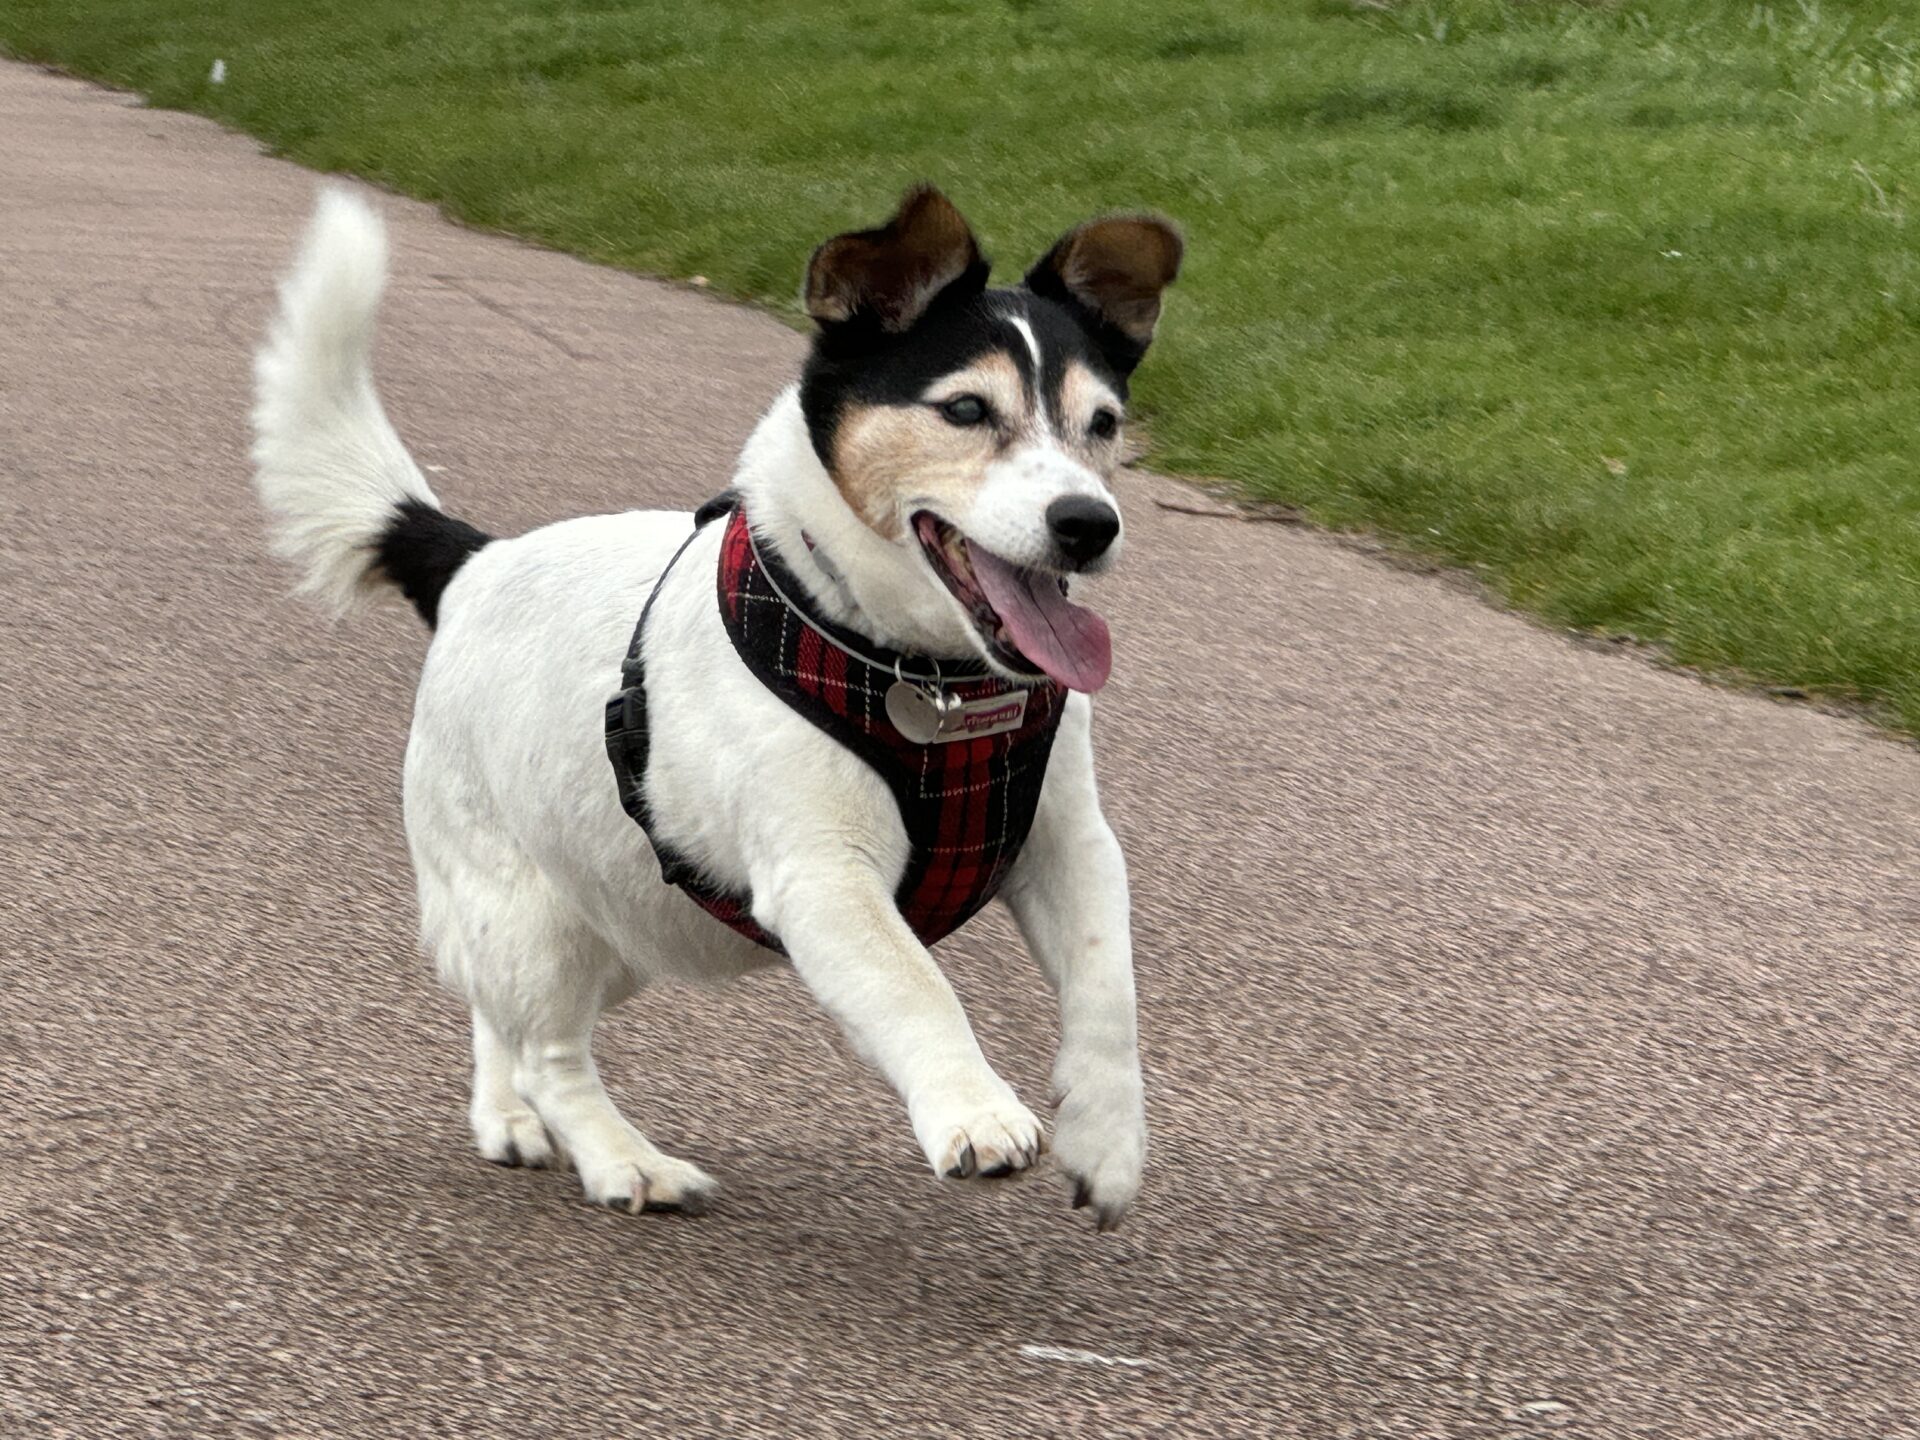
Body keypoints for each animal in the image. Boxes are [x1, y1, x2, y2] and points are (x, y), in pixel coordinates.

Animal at [251, 184, 1180, 1231]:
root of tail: (472, 564)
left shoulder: (1070, 846)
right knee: (549, 1053)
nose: (1088, 523)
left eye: (1103, 423)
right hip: (529, 912)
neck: (926, 675)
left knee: (506, 1025)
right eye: (967, 409)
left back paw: (510, 1116)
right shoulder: (823, 879)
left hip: (624, 916)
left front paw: (1106, 1139)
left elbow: (1108, 992)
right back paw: (624, 1160)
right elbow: (917, 986)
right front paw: (974, 1109)